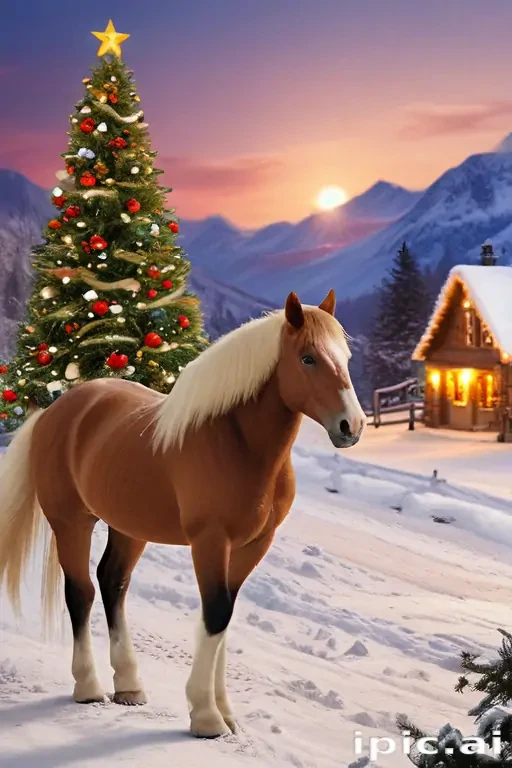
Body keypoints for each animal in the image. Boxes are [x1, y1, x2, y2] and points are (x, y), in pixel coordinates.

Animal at [0, 289, 365, 738]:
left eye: (345, 357)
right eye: (308, 358)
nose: (352, 426)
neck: (237, 443)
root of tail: (53, 411)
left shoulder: (252, 545)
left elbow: (225, 616)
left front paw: (225, 712)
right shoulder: (209, 541)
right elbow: (216, 612)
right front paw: (206, 716)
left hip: (129, 528)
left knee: (112, 582)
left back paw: (129, 684)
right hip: (71, 522)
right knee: (80, 592)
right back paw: (88, 685)